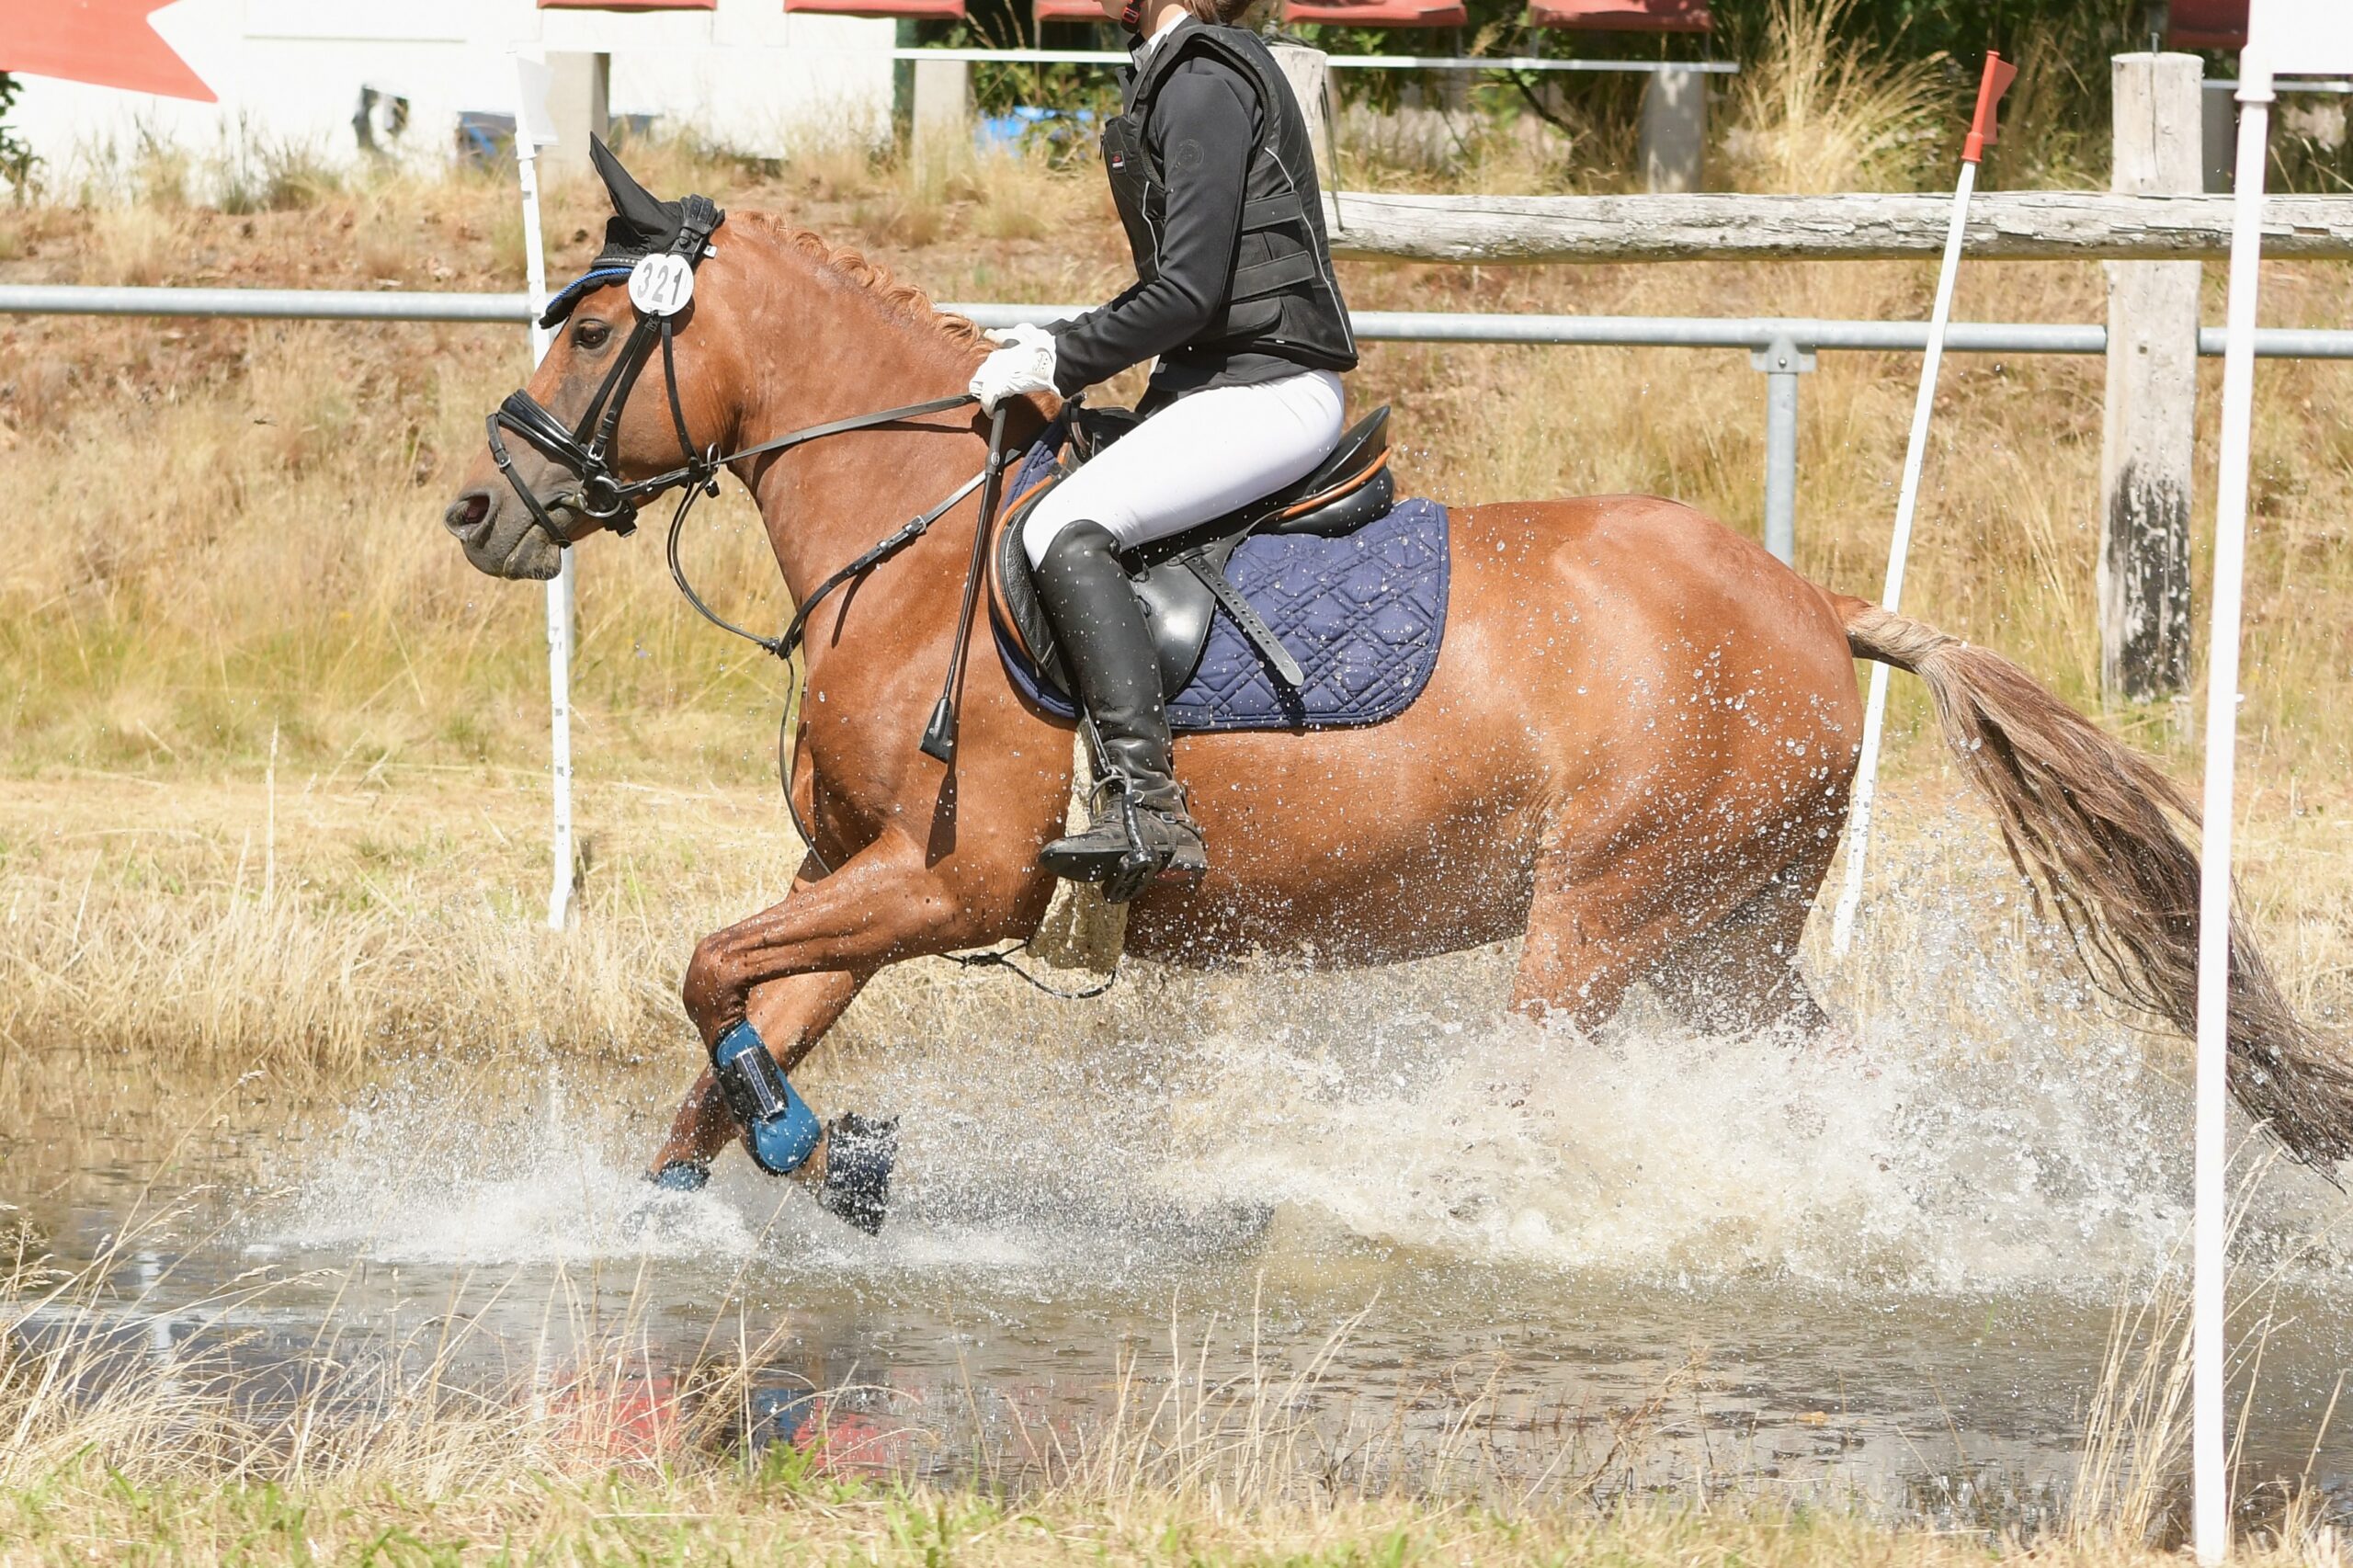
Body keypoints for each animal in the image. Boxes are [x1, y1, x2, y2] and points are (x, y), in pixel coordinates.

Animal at [441, 161, 2353, 1200]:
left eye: (598, 330)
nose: (483, 506)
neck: (908, 541)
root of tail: (1813, 602)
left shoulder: (949, 875)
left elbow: (710, 973)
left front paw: (809, 1157)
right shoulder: (859, 871)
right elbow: (731, 1027)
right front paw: (714, 1187)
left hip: (1608, 917)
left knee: (1531, 1075)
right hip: (1727, 939)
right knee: (1808, 1076)